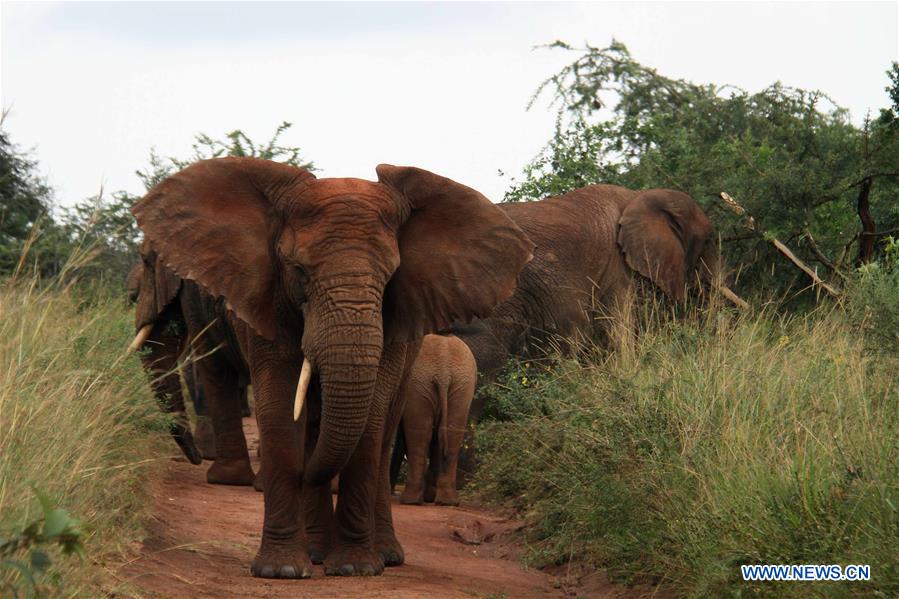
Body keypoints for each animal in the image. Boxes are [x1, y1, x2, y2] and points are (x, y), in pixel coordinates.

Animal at [392, 332, 474, 506]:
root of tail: (444, 374)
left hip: (421, 384)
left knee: (419, 436)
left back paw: (411, 500)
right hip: (461, 386)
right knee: (451, 434)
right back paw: (447, 502)